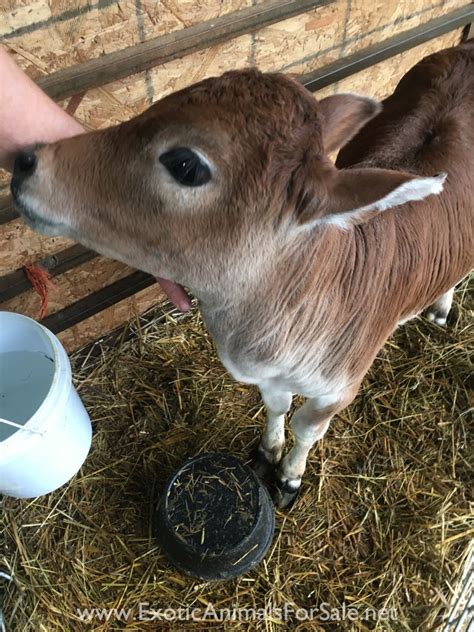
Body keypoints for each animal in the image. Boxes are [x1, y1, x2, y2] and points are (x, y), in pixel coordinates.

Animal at [12, 40, 474, 504]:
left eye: (185, 164)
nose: (26, 160)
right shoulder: (270, 377)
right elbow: (277, 407)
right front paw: (268, 453)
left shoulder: (340, 388)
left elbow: (307, 428)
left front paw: (290, 476)